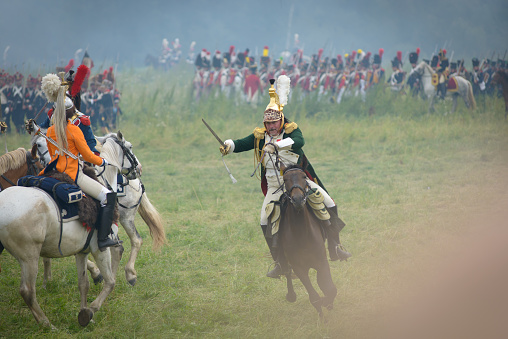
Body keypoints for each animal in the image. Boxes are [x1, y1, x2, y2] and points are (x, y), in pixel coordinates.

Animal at [0, 137, 126, 328]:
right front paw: (91, 310)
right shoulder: (100, 249)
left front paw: (85, 314)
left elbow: (83, 284)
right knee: (27, 291)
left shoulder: (82, 252)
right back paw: (46, 324)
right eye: (129, 149)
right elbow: (110, 282)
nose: (138, 169)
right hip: (29, 257)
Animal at [278, 162, 338, 318]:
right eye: (285, 179)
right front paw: (323, 316)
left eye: (304, 176)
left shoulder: (321, 261)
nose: (298, 199)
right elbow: (314, 297)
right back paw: (291, 295)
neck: (302, 234)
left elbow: (329, 288)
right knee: (287, 271)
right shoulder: (299, 268)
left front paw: (328, 303)